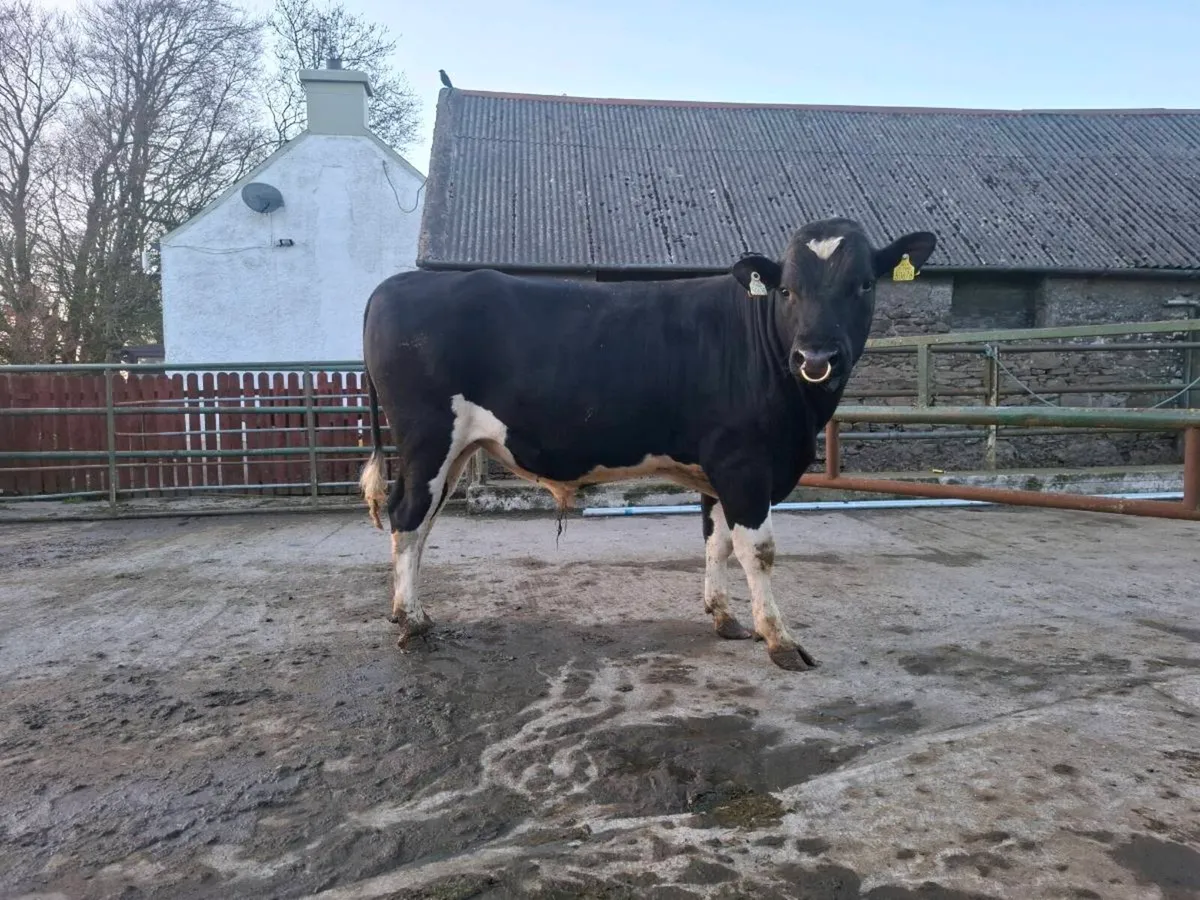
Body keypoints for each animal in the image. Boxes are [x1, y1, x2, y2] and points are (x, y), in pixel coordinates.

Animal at [358, 217, 937, 671]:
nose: (816, 357)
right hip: (428, 439)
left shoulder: (717, 468)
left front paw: (724, 616)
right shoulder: (746, 463)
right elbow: (758, 550)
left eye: (864, 285)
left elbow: (716, 541)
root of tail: (395, 285)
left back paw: (412, 612)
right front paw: (780, 640)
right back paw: (411, 620)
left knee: (421, 523)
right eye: (787, 290)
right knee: (408, 517)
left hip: (452, 451)